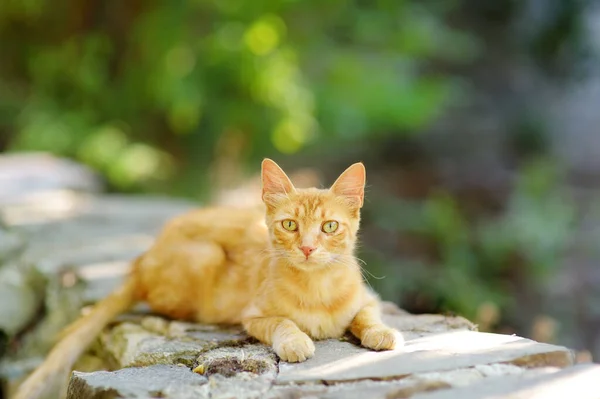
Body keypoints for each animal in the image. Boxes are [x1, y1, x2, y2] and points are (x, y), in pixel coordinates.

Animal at [14, 159, 406, 399]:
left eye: (329, 227)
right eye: (290, 225)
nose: (308, 248)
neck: (317, 287)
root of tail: (145, 255)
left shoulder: (367, 297)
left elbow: (367, 314)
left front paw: (382, 331)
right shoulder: (254, 315)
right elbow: (282, 322)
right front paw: (296, 339)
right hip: (204, 258)